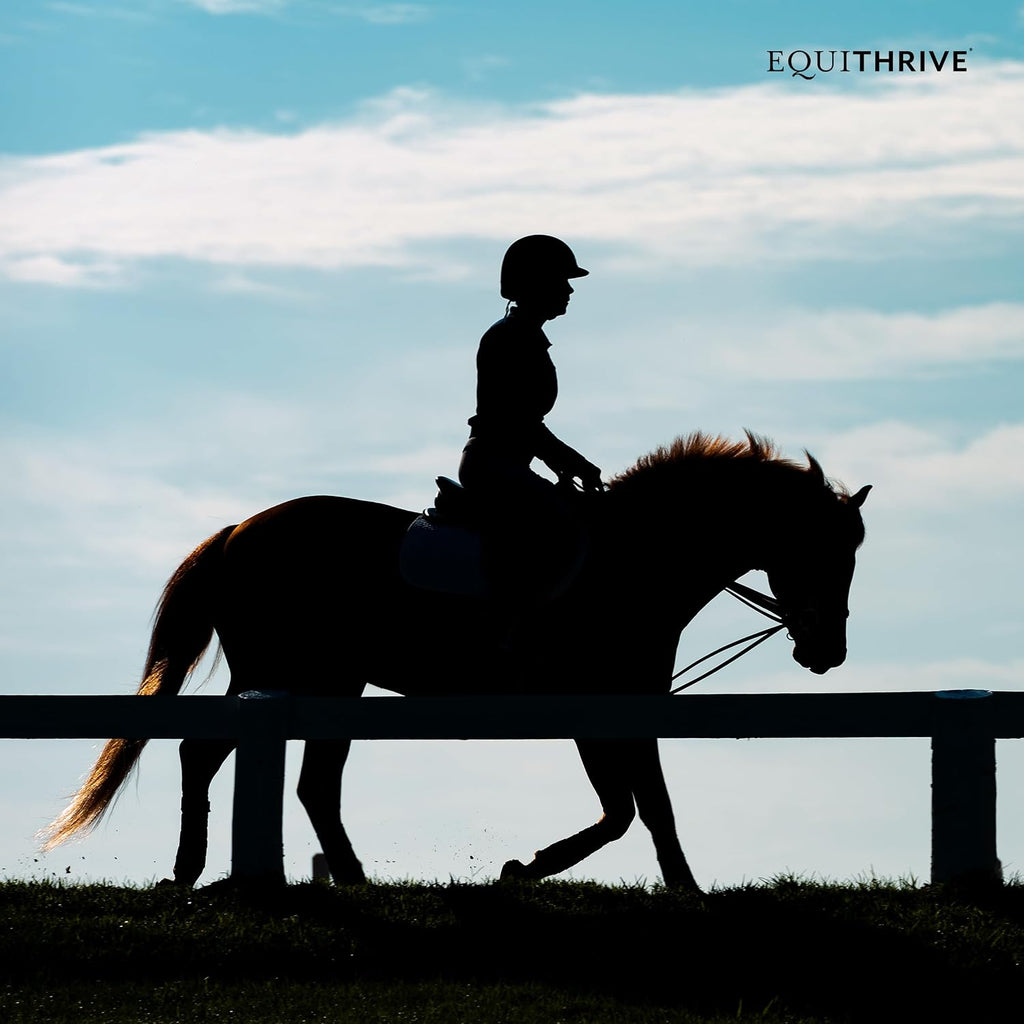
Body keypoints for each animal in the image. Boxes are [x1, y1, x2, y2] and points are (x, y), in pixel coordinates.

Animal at [42, 431, 870, 891]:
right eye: (823, 550)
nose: (825, 652)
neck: (637, 560)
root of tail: (239, 531)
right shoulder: (600, 711)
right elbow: (632, 811)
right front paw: (542, 872)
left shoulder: (618, 711)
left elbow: (639, 811)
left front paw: (657, 886)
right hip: (287, 674)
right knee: (214, 753)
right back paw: (197, 869)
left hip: (326, 682)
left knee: (297, 780)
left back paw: (337, 877)